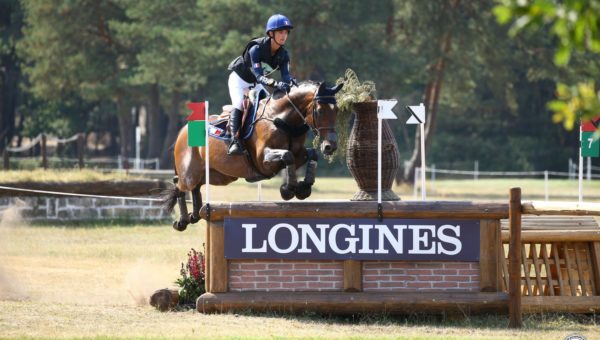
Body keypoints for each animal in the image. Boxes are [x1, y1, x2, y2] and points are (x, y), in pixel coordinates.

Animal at [163, 81, 342, 231]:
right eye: (320, 111)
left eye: (337, 111)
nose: (330, 146)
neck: (282, 119)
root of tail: (183, 130)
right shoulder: (263, 160)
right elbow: (287, 156)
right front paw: (288, 189)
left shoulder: (299, 154)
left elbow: (311, 154)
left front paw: (304, 187)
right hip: (190, 172)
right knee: (179, 185)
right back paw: (182, 221)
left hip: (220, 176)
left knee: (196, 186)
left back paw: (194, 215)